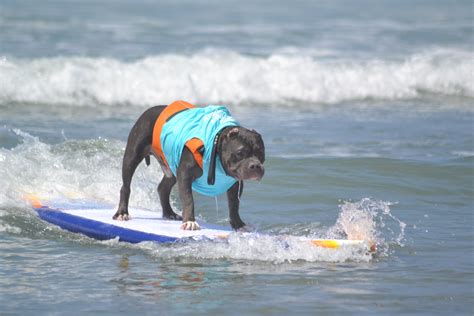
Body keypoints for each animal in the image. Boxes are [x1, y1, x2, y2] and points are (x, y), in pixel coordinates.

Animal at [113, 100, 264, 231]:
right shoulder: (185, 175)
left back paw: (169, 213)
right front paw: (190, 221)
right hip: (132, 156)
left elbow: (234, 205)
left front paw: (238, 224)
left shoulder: (234, 184)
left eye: (261, 153)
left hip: (172, 166)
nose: (255, 166)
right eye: (240, 153)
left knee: (163, 188)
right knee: (126, 186)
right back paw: (122, 213)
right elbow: (188, 199)